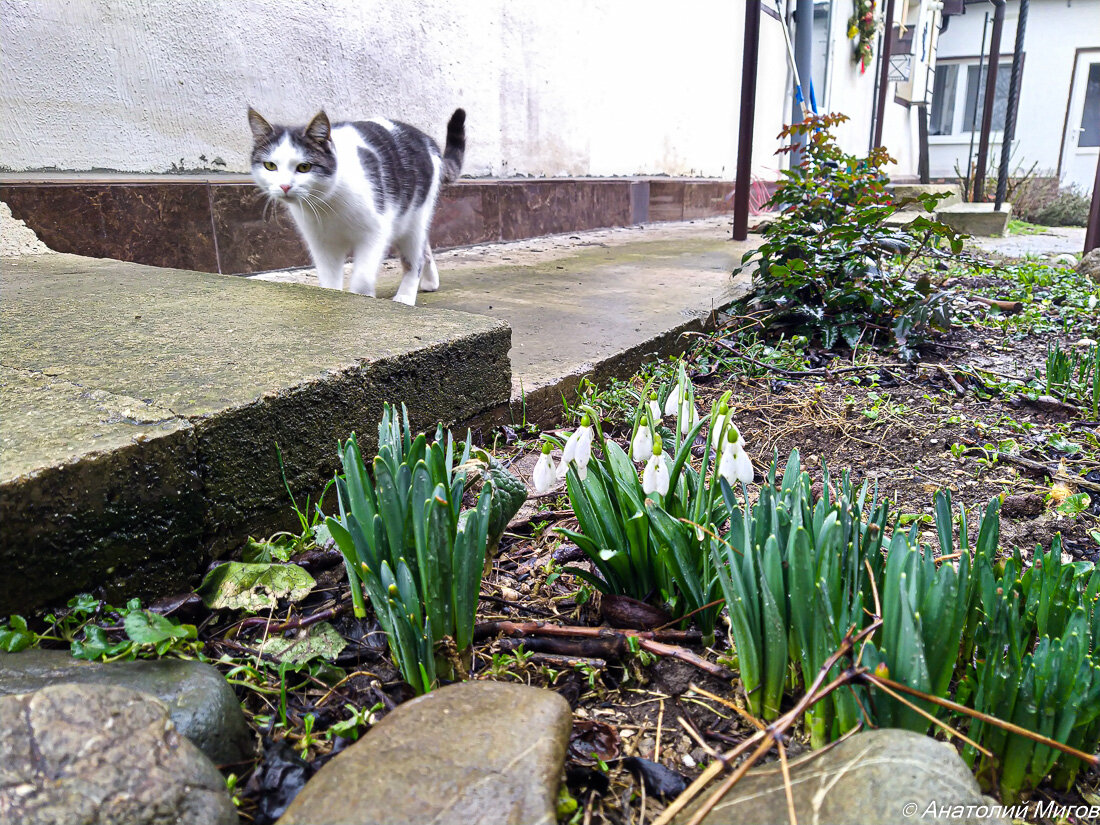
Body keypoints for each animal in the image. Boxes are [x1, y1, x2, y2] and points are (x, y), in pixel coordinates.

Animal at [248, 106, 464, 305]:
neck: (328, 205)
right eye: (270, 166)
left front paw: (363, 297)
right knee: (424, 249)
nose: (285, 186)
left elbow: (362, 277)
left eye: (304, 167)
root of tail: (427, 140)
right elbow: (329, 280)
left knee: (415, 257)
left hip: (415, 217)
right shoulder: (321, 242)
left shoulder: (375, 233)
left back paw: (406, 296)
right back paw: (430, 281)